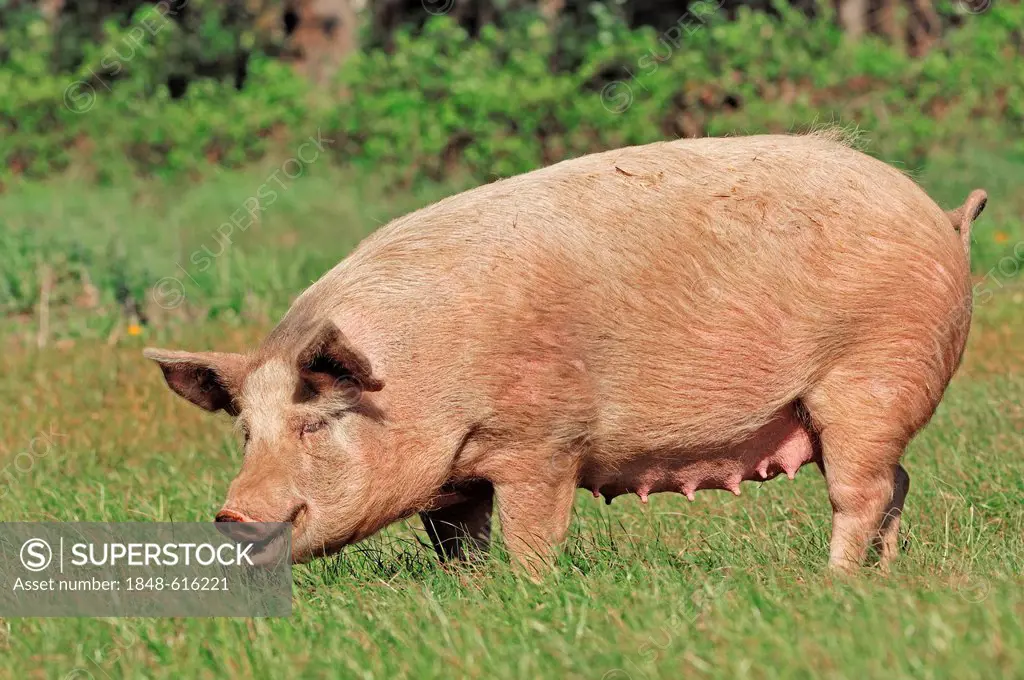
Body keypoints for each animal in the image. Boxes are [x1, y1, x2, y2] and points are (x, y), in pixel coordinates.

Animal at [144, 133, 983, 573]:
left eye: (315, 424)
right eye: (245, 432)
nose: (230, 514)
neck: (422, 378)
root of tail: (944, 216)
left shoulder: (542, 442)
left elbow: (531, 535)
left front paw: (527, 592)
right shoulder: (455, 482)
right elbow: (458, 543)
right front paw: (467, 596)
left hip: (873, 374)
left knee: (861, 491)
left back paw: (831, 582)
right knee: (899, 482)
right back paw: (881, 578)